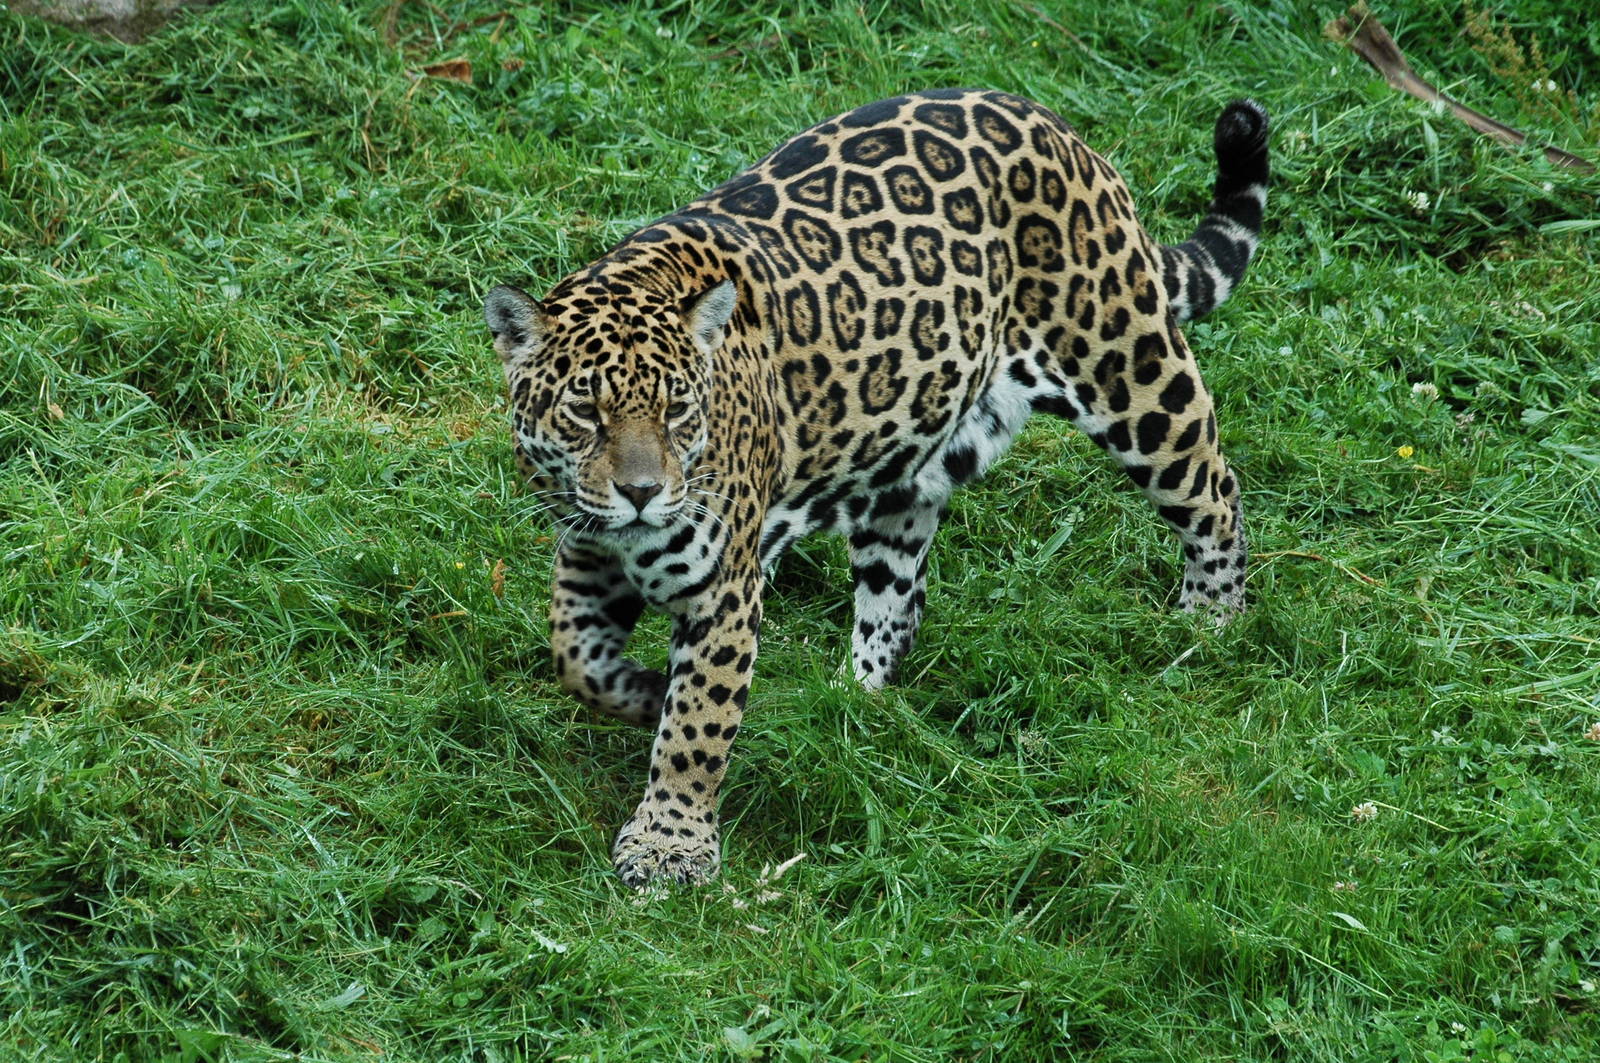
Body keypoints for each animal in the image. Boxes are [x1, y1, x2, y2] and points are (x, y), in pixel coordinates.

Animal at [483, 89, 1268, 887]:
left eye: (677, 409)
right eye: (586, 411)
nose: (642, 492)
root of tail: (1053, 124)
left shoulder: (725, 588)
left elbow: (698, 725)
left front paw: (670, 841)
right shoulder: (587, 555)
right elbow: (575, 657)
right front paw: (642, 695)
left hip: (1131, 369)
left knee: (1213, 490)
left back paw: (1212, 621)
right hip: (915, 455)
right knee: (900, 590)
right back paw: (854, 700)